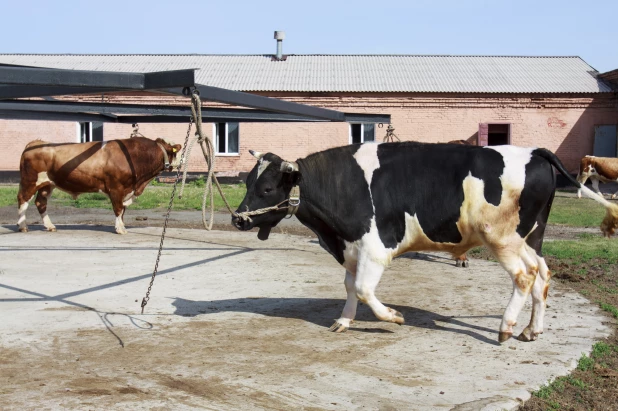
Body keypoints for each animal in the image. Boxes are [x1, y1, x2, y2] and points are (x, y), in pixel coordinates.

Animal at [17, 138, 180, 235]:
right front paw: (120, 229)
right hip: (30, 181)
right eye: (174, 153)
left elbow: (123, 210)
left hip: (48, 185)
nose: (180, 163)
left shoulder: (126, 190)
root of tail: (35, 143)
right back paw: (22, 226)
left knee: (41, 203)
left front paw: (121, 225)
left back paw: (50, 226)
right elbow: (118, 209)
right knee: (23, 200)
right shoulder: (116, 188)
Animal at [232, 143, 616, 342]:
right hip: (531, 237)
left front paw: (394, 316)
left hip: (503, 238)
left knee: (524, 276)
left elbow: (365, 289)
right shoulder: (351, 247)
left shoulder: (375, 247)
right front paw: (344, 321)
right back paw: (532, 330)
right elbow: (350, 287)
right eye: (248, 182)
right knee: (542, 273)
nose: (238, 219)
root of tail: (534, 152)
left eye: (267, 188)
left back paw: (506, 328)